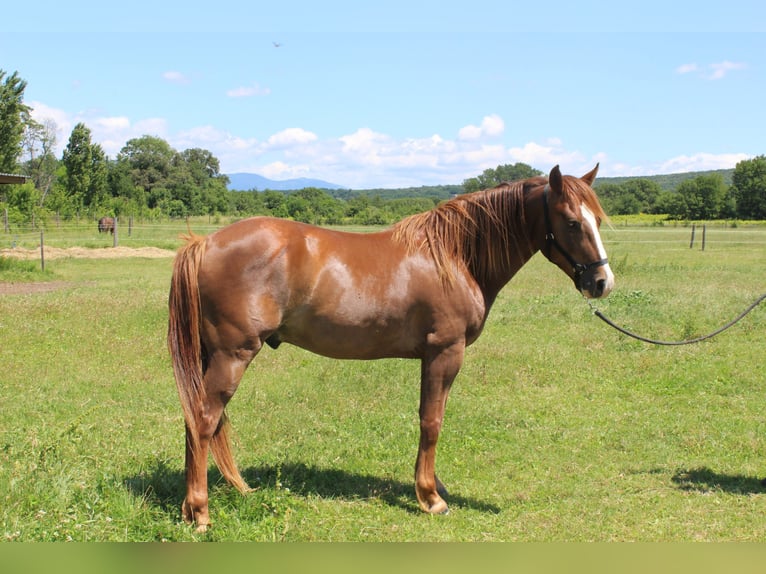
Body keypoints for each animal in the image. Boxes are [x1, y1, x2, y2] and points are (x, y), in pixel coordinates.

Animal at [170, 164, 616, 532]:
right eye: (572, 222)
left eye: (596, 219)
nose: (602, 283)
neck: (454, 257)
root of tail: (205, 243)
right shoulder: (444, 352)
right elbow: (431, 422)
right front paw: (430, 498)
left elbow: (434, 417)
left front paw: (434, 486)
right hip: (233, 355)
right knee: (204, 420)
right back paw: (201, 514)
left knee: (199, 421)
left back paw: (203, 503)